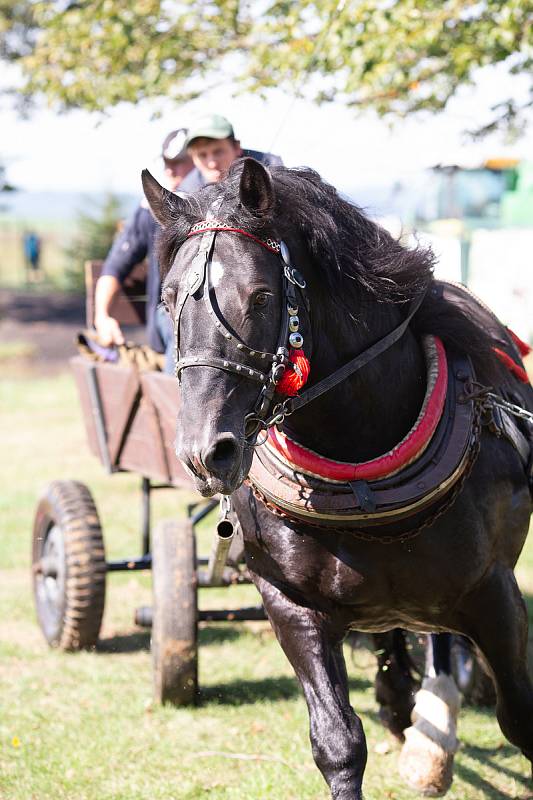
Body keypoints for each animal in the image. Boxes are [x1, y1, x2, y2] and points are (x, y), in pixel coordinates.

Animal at [141, 159, 532, 796]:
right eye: (169, 299)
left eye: (261, 295)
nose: (205, 451)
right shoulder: (289, 603)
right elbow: (338, 743)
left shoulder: (495, 593)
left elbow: (521, 719)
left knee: (438, 638)